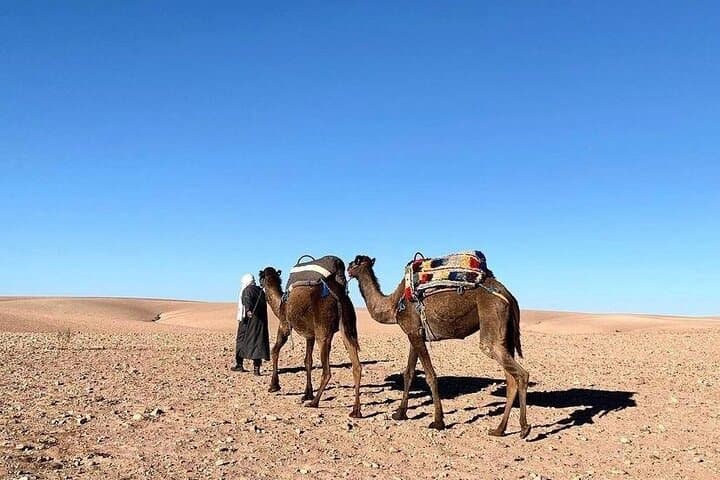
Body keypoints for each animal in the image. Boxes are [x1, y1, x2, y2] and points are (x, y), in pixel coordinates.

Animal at [258, 266, 362, 418]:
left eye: (260, 277)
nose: (259, 284)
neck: (280, 303)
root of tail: (339, 297)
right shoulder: (310, 336)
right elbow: (308, 361)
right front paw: (307, 393)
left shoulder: (284, 325)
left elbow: (275, 350)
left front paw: (274, 386)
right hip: (347, 328)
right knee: (357, 366)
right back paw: (356, 411)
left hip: (323, 333)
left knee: (327, 371)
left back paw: (314, 402)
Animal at [347, 255, 531, 438]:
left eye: (354, 262)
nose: (348, 269)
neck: (394, 304)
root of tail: (510, 297)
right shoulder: (415, 334)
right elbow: (409, 374)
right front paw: (399, 413)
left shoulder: (414, 333)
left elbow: (430, 375)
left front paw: (438, 421)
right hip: (505, 336)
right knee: (511, 380)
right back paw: (499, 429)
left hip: (492, 318)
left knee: (518, 372)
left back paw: (524, 428)